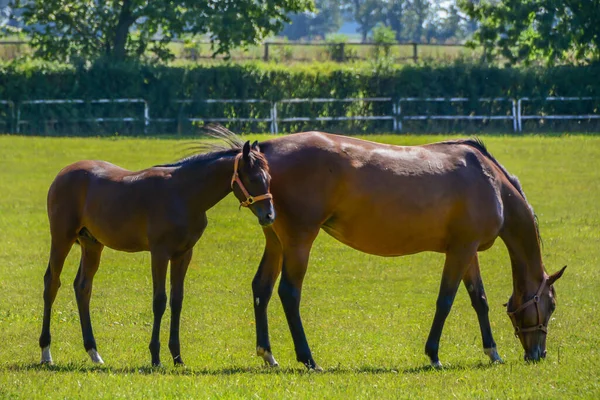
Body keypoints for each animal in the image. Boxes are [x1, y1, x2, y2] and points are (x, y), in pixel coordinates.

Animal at [41, 136, 276, 368]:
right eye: (253, 178)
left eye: (269, 178)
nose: (269, 216)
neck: (183, 195)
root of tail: (63, 174)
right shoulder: (160, 253)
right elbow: (159, 300)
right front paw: (155, 357)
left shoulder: (183, 254)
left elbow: (177, 300)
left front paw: (177, 357)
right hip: (62, 238)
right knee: (52, 283)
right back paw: (46, 352)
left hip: (92, 244)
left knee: (83, 287)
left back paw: (94, 352)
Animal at [250, 133, 568, 370]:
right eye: (551, 305)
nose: (538, 354)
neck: (491, 182)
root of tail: (266, 148)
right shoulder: (460, 251)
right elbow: (445, 301)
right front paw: (434, 355)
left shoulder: (468, 251)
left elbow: (479, 300)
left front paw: (493, 352)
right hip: (299, 241)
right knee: (289, 293)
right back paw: (308, 359)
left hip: (276, 241)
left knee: (261, 288)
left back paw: (268, 354)